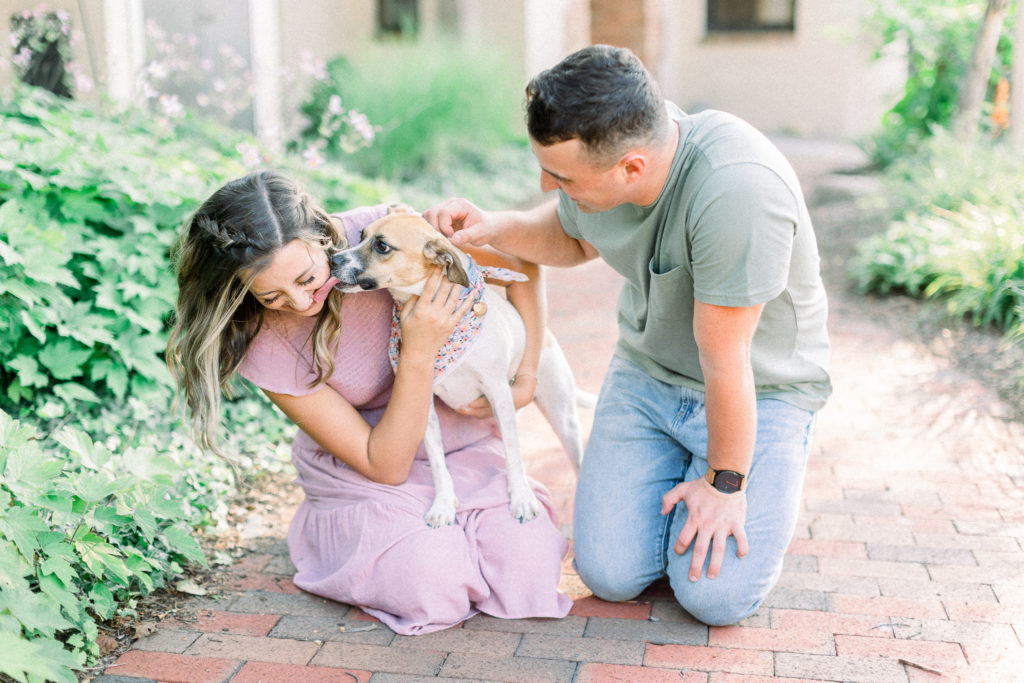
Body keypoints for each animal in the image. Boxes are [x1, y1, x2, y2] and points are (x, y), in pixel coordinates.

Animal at [329, 209, 585, 528]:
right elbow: (438, 461)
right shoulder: (423, 403)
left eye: (382, 246)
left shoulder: (499, 395)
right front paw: (443, 503)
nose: (332, 259)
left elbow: (513, 450)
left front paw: (521, 496)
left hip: (564, 418)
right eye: (361, 235)